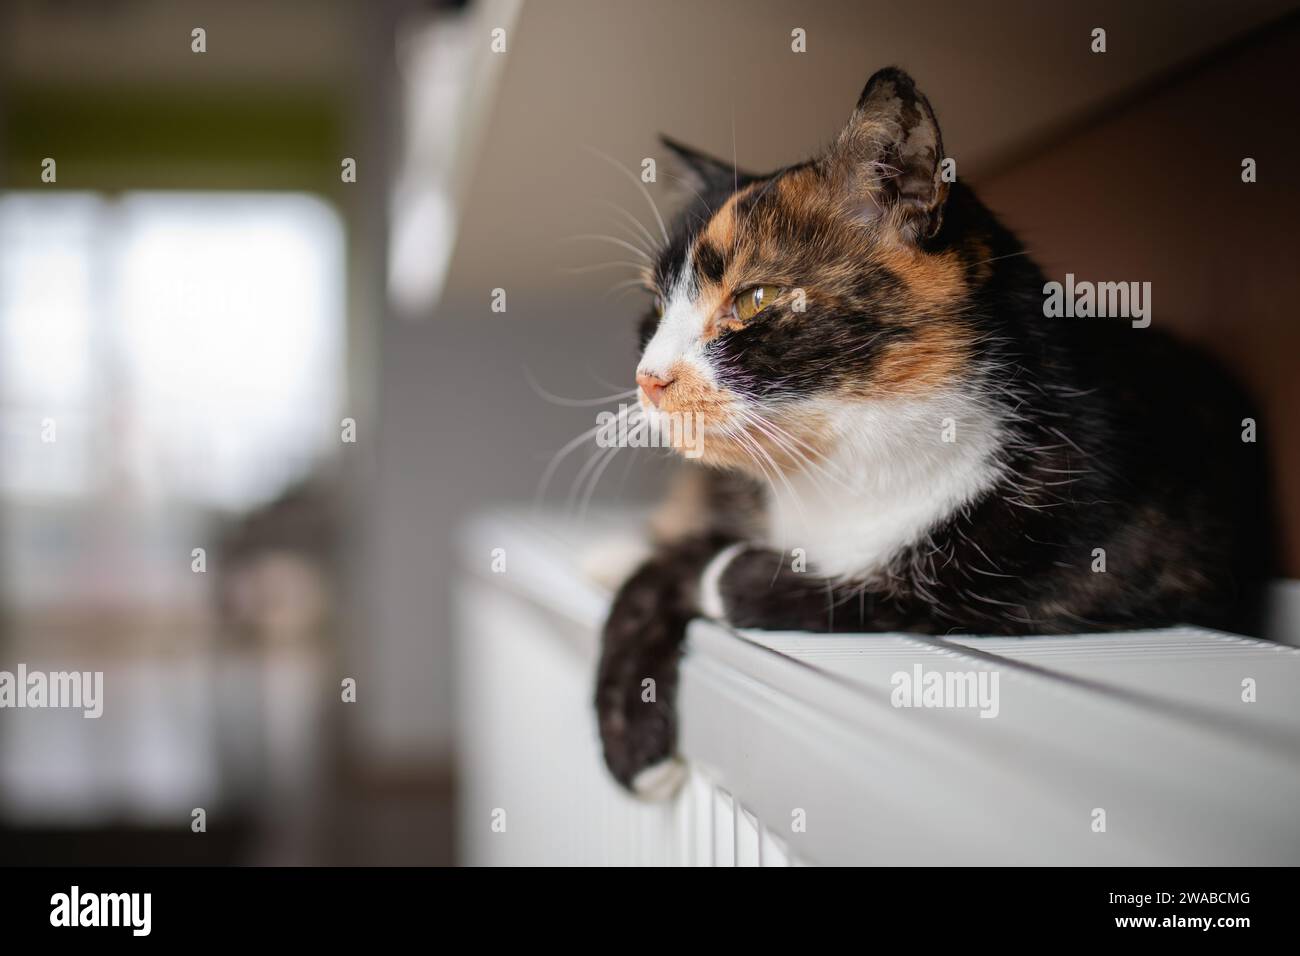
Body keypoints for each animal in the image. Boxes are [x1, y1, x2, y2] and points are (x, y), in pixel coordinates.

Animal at [595, 67, 1274, 796]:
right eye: (657, 309)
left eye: (756, 299)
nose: (648, 378)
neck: (845, 470)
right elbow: (657, 573)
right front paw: (633, 742)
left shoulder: (1102, 575)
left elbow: (885, 592)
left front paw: (726, 575)